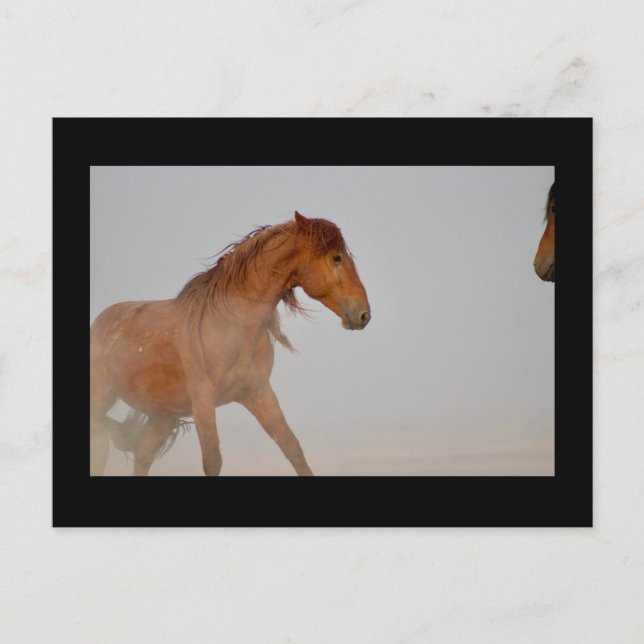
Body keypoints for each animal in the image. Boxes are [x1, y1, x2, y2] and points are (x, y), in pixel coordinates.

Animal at [90, 211, 371, 477]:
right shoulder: (203, 399)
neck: (232, 327)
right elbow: (212, 461)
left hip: (163, 416)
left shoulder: (258, 393)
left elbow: (293, 449)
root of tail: (101, 323)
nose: (364, 315)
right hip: (102, 404)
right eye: (336, 258)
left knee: (142, 457)